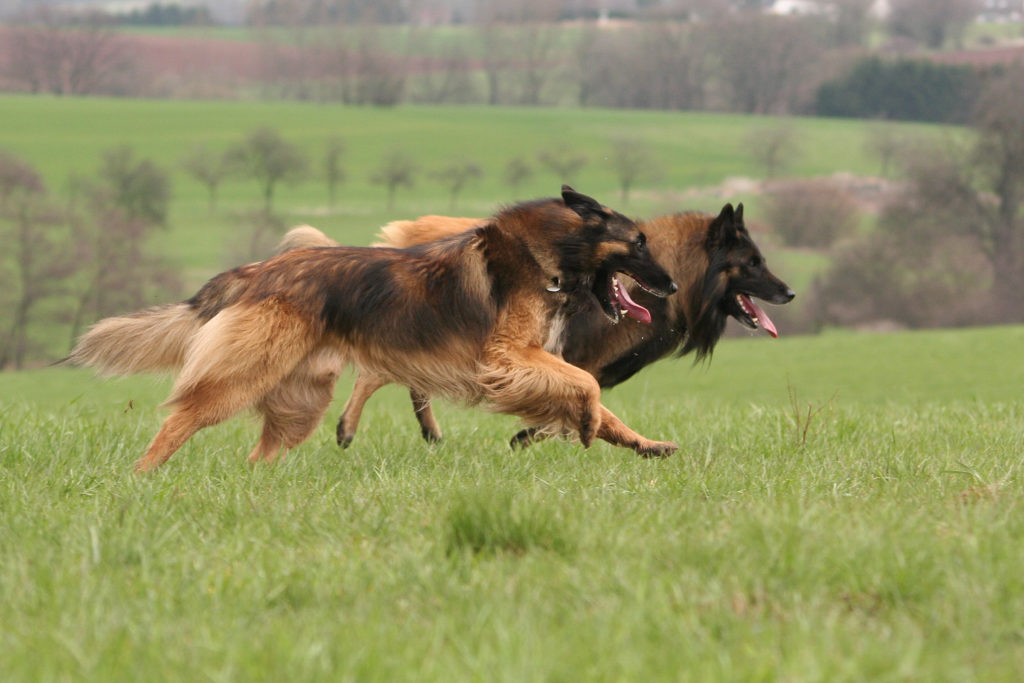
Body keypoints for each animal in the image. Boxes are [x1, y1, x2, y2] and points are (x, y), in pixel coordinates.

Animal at [70, 189, 679, 473]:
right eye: (639, 242)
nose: (673, 287)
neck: (550, 253)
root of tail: (257, 270)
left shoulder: (527, 361)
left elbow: (596, 398)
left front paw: (643, 443)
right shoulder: (506, 358)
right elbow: (589, 386)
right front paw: (586, 423)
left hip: (301, 399)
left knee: (259, 453)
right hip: (242, 376)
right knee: (180, 420)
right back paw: (141, 477)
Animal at [325, 202, 790, 448]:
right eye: (752, 263)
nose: (789, 293)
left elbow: (576, 405)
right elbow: (576, 402)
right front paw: (531, 437)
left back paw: (428, 431)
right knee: (375, 373)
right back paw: (351, 428)